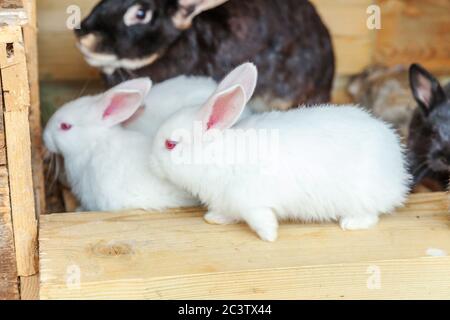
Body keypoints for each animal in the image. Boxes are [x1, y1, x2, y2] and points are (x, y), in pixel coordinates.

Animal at [153, 63, 414, 241]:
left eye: (171, 144)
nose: (150, 161)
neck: (214, 154)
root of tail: (398, 170)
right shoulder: (229, 202)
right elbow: (227, 213)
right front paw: (214, 219)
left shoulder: (251, 202)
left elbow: (261, 220)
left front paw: (269, 237)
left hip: (360, 198)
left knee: (370, 215)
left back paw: (350, 223)